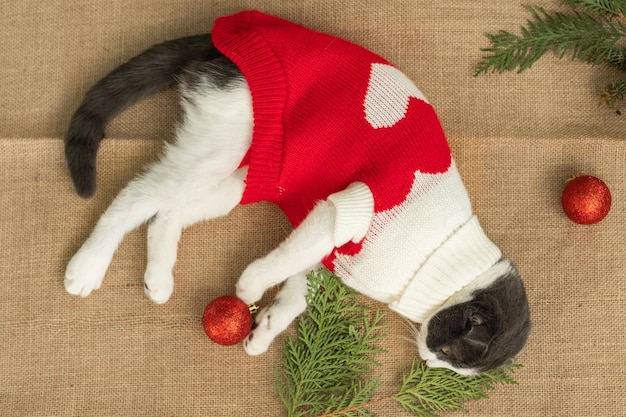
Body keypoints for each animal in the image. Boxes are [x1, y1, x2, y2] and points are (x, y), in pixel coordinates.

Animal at [64, 12, 532, 374]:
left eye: (450, 364)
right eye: (448, 350)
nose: (429, 360)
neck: (441, 254)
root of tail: (224, 41)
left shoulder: (339, 257)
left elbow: (299, 285)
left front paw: (267, 327)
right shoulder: (346, 209)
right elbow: (287, 256)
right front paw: (250, 287)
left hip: (245, 174)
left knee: (168, 211)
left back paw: (158, 278)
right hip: (221, 145)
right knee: (138, 195)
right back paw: (87, 267)